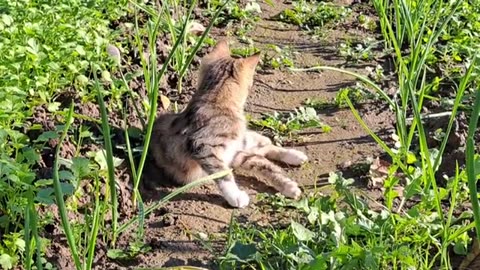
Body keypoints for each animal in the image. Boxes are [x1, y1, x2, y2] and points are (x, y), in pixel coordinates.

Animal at [149, 40, 308, 208]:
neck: (215, 99)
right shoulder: (203, 146)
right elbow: (224, 172)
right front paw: (236, 195)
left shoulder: (226, 152)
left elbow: (265, 166)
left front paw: (288, 186)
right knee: (261, 151)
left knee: (263, 150)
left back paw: (294, 154)